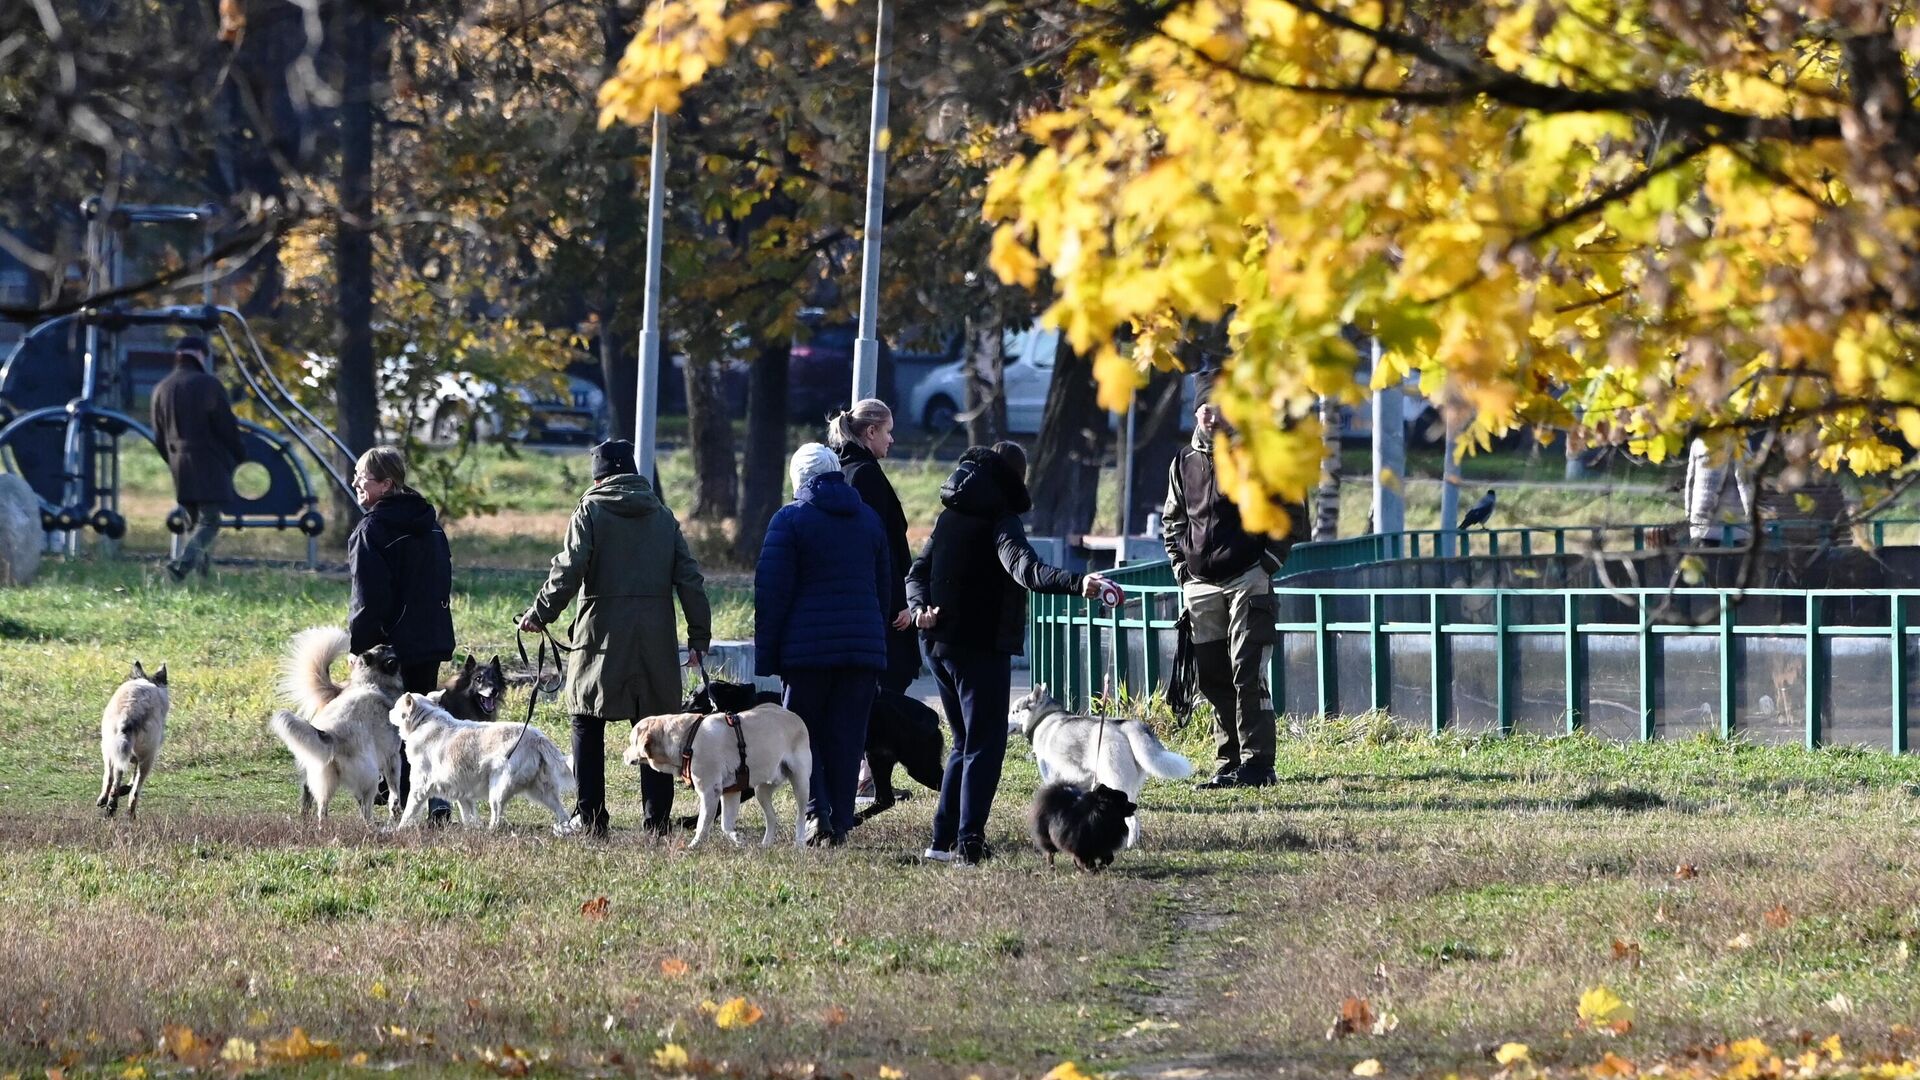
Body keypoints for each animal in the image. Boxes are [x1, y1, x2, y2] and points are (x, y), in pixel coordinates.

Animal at [96, 657, 169, 814]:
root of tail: (131, 713)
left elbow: (112, 777)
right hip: (146, 758)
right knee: (133, 790)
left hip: (113, 748)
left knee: (117, 781)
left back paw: (111, 804)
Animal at [268, 622, 407, 814]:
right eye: (388, 651)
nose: (392, 643)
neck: (371, 679)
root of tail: (331, 735)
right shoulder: (393, 756)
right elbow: (395, 791)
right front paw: (395, 809)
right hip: (369, 775)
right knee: (365, 809)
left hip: (322, 776)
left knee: (320, 805)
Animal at [385, 687, 572, 822]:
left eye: (395, 707)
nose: (388, 713)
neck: (424, 721)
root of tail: (537, 737)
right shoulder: (462, 793)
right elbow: (469, 818)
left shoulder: (419, 787)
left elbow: (408, 814)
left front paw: (399, 830)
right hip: (542, 791)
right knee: (563, 814)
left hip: (497, 790)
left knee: (497, 819)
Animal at [629, 703, 810, 845]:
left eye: (631, 742)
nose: (624, 754)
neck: (688, 739)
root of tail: (796, 717)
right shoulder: (731, 791)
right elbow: (726, 826)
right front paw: (738, 840)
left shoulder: (710, 791)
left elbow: (702, 825)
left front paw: (692, 847)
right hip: (762, 790)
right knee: (772, 818)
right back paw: (765, 845)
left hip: (801, 783)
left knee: (800, 817)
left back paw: (799, 845)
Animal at [695, 676, 948, 818]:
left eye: (694, 701)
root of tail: (932, 715)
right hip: (878, 760)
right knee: (884, 800)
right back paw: (853, 820)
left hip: (920, 767)